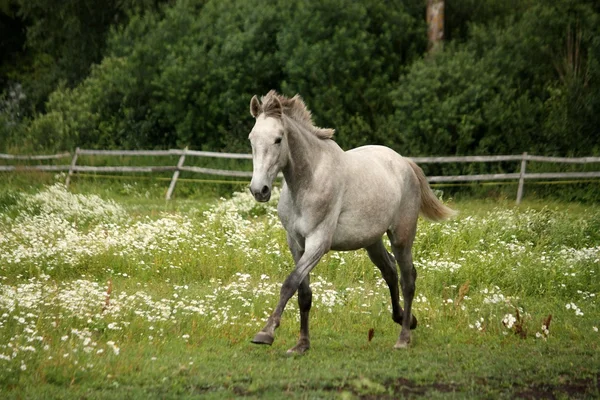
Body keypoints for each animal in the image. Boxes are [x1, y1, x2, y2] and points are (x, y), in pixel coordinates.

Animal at [246, 90, 452, 354]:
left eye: (278, 139)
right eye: (252, 140)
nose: (259, 190)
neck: (308, 181)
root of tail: (404, 162)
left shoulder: (318, 243)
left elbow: (290, 283)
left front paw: (266, 332)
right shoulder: (296, 243)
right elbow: (303, 293)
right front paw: (302, 344)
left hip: (401, 237)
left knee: (408, 279)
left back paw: (404, 337)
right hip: (372, 241)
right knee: (390, 271)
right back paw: (405, 319)